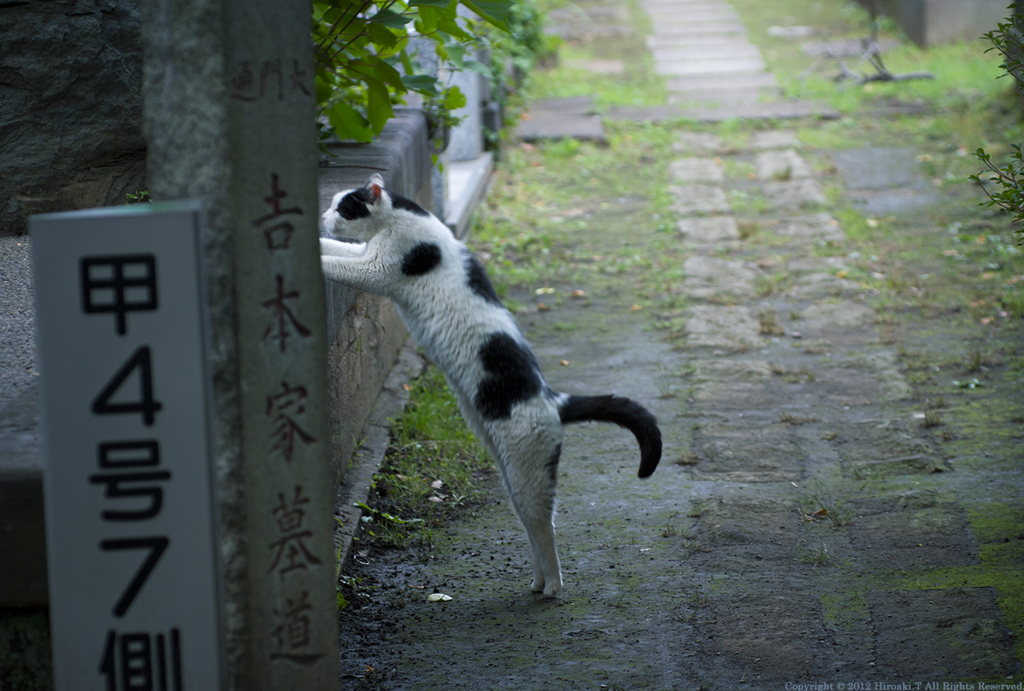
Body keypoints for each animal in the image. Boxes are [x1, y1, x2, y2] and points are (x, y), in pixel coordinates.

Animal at [315, 176, 659, 597]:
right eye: (333, 204)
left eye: (344, 208)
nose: (324, 215)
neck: (399, 218)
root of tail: (553, 400)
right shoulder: (365, 252)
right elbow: (336, 249)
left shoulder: (376, 268)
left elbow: (338, 263)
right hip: (511, 475)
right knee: (533, 527)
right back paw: (536, 581)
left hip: (527, 475)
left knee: (547, 529)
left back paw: (552, 587)